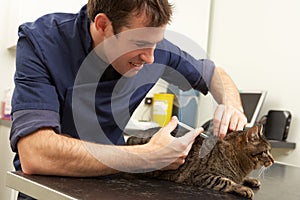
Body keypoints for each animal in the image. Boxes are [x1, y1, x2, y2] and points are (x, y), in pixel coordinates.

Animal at [126, 124, 274, 199]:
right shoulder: (201, 176)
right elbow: (226, 181)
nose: (273, 160)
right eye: (266, 152)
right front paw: (242, 188)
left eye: (269, 150)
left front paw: (250, 180)